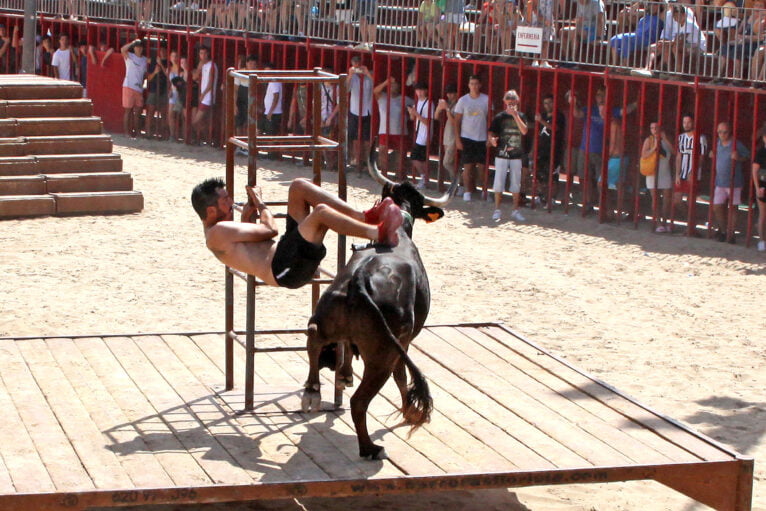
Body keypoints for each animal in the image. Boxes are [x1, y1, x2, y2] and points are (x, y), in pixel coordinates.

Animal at [298, 162, 456, 462]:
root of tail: (359, 280)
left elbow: (346, 348)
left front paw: (345, 374)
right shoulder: (406, 341)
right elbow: (402, 376)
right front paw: (409, 411)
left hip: (327, 317)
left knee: (314, 338)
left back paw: (312, 389)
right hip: (383, 354)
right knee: (361, 400)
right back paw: (370, 447)